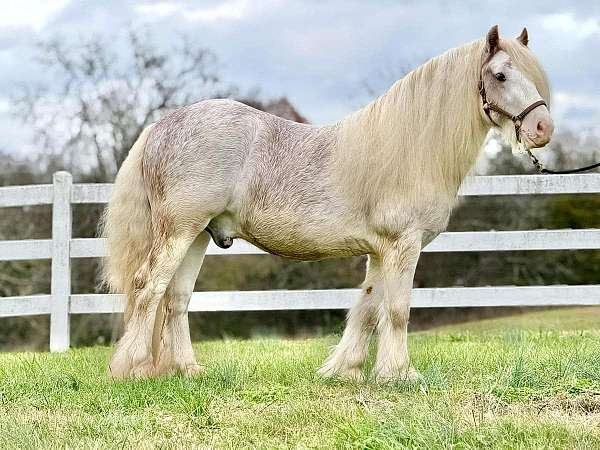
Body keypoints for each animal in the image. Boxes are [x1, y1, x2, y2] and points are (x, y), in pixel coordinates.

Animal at [99, 24, 552, 382]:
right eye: (500, 75)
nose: (542, 128)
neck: (410, 148)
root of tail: (161, 125)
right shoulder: (402, 244)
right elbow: (397, 310)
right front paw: (401, 375)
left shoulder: (380, 250)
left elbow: (367, 307)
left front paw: (346, 370)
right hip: (178, 231)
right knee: (147, 288)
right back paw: (133, 368)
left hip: (196, 235)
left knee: (176, 298)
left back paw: (187, 370)